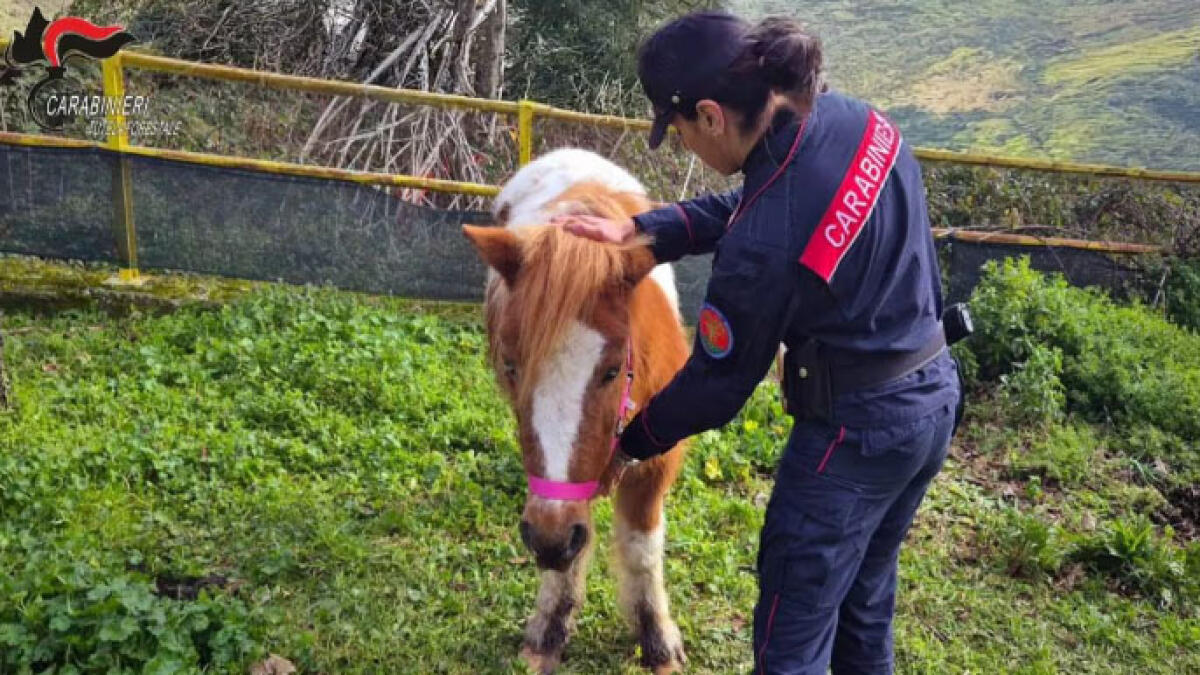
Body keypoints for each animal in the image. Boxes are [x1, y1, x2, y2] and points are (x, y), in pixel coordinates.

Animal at [462, 149, 690, 674]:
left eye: (611, 370)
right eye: (511, 366)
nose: (547, 538)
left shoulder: (657, 460)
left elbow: (641, 550)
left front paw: (657, 639)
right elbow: (567, 558)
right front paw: (548, 632)